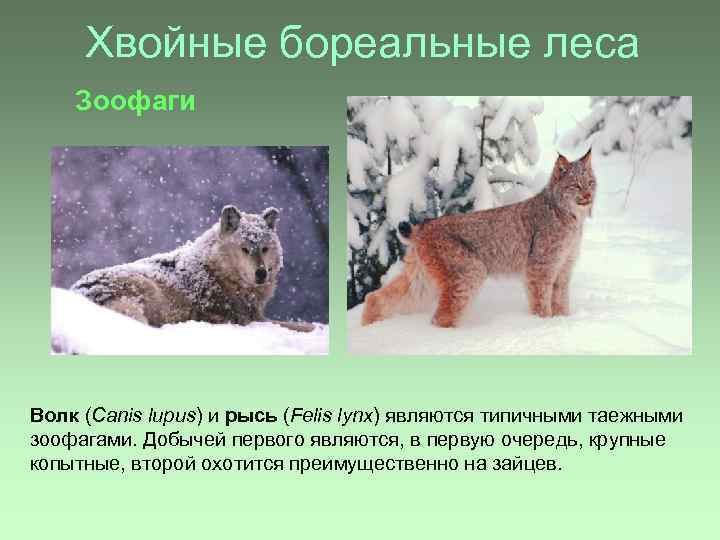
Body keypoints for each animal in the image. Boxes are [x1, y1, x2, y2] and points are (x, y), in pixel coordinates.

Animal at [72, 205, 313, 332]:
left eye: (264, 249)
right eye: (245, 249)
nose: (261, 273)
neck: (216, 272)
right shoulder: (248, 320)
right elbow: (299, 325)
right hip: (144, 287)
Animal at [361, 150, 596, 328]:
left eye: (591, 183)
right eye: (575, 185)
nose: (588, 196)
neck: (570, 216)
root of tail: (425, 226)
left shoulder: (564, 267)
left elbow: (561, 299)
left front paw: (562, 321)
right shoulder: (540, 268)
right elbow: (540, 302)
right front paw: (542, 325)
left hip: (424, 278)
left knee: (375, 297)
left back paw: (370, 326)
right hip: (470, 270)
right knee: (441, 316)